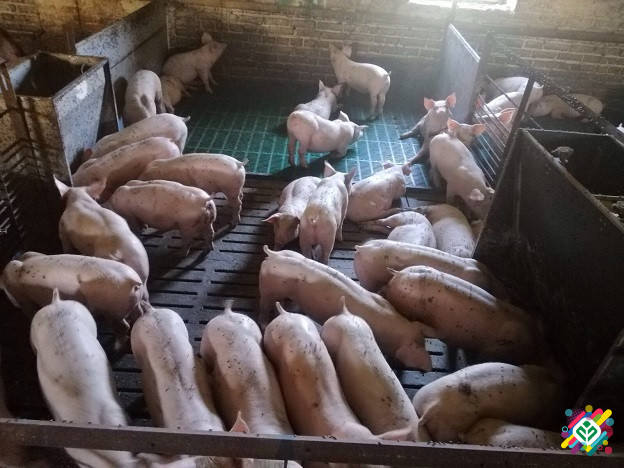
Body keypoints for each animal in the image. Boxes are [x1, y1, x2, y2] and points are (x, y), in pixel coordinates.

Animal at [1, 252, 143, 348]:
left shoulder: (25, 301)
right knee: (138, 314)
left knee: (123, 327)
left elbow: (30, 311)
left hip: (113, 311)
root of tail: (133, 280)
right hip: (132, 303)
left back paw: (116, 347)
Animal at [384, 266, 541, 364]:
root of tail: (536, 345)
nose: (385, 289)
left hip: (496, 349)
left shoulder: (446, 328)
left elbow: (433, 331)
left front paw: (417, 324)